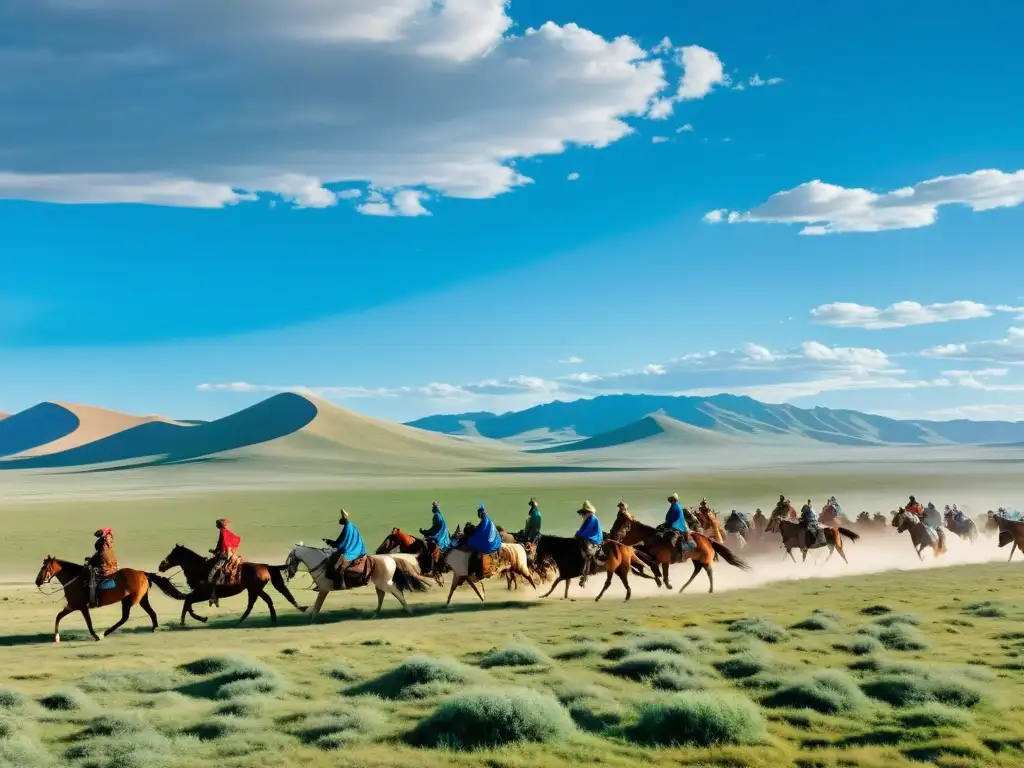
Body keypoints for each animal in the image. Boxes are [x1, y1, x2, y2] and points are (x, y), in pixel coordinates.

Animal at [34, 557, 188, 647]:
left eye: (44, 568)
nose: (37, 581)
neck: (75, 580)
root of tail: (143, 573)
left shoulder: (79, 606)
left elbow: (87, 623)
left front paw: (96, 636)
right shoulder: (72, 606)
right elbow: (59, 617)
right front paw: (56, 637)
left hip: (129, 600)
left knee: (125, 618)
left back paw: (106, 632)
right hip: (142, 599)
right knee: (152, 613)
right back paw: (154, 629)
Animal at [155, 544, 307, 626]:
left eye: (173, 553)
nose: (161, 565)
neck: (200, 569)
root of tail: (265, 566)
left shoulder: (203, 594)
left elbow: (187, 602)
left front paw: (198, 619)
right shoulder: (199, 594)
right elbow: (187, 603)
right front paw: (191, 620)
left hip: (253, 589)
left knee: (252, 604)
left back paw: (240, 620)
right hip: (256, 589)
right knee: (267, 600)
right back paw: (272, 618)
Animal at [282, 544, 434, 622]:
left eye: (290, 558)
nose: (288, 574)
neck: (322, 564)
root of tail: (391, 558)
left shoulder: (324, 590)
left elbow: (317, 607)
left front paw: (310, 619)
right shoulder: (324, 590)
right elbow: (316, 606)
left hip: (385, 584)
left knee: (398, 594)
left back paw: (408, 611)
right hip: (380, 584)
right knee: (382, 596)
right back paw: (375, 614)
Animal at [606, 512, 753, 593]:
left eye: (621, 524)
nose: (613, 535)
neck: (653, 539)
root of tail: (708, 540)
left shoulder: (662, 560)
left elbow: (658, 569)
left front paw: (664, 583)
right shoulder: (659, 559)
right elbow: (654, 567)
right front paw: (660, 581)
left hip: (705, 559)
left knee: (709, 572)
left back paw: (710, 589)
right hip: (696, 559)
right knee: (697, 571)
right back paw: (682, 588)